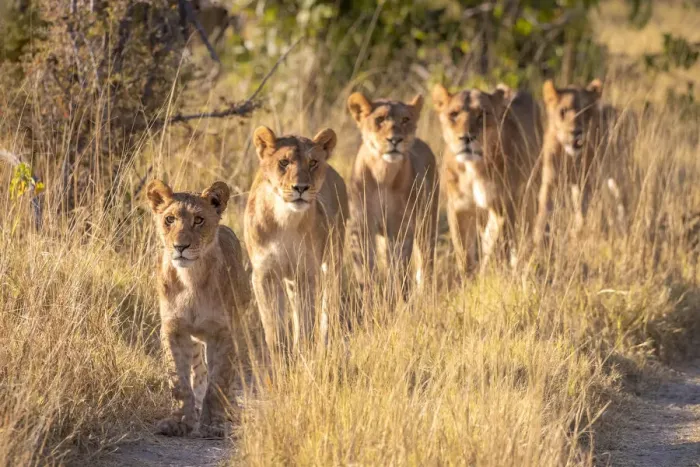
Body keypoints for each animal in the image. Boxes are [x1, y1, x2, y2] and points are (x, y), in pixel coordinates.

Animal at [146, 179, 252, 438]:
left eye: (199, 220)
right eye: (170, 219)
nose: (180, 246)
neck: (190, 279)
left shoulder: (223, 332)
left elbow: (219, 381)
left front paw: (213, 423)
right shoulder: (174, 329)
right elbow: (179, 380)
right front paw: (180, 422)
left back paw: (230, 411)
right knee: (198, 370)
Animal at [244, 126, 348, 360]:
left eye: (313, 162)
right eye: (284, 162)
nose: (301, 188)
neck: (286, 219)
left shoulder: (307, 273)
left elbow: (306, 323)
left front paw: (304, 354)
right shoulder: (264, 274)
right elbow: (274, 329)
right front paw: (281, 359)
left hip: (332, 261)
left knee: (329, 304)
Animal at [346, 92, 439, 300]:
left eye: (405, 120)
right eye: (379, 119)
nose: (395, 140)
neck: (384, 174)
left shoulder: (401, 229)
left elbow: (398, 269)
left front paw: (397, 299)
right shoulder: (361, 228)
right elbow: (366, 270)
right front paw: (371, 299)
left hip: (427, 223)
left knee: (425, 261)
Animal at [432, 83, 542, 273]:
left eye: (482, 115)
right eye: (454, 114)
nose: (466, 137)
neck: (472, 169)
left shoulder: (504, 206)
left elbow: (494, 247)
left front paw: (487, 273)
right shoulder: (458, 208)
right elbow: (464, 254)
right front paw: (469, 276)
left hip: (528, 197)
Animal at [533, 79, 627, 246]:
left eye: (587, 112)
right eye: (563, 111)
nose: (576, 132)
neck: (571, 158)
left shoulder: (588, 182)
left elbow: (583, 209)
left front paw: (577, 233)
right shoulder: (550, 179)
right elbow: (545, 205)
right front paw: (538, 236)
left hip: (617, 173)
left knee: (620, 200)